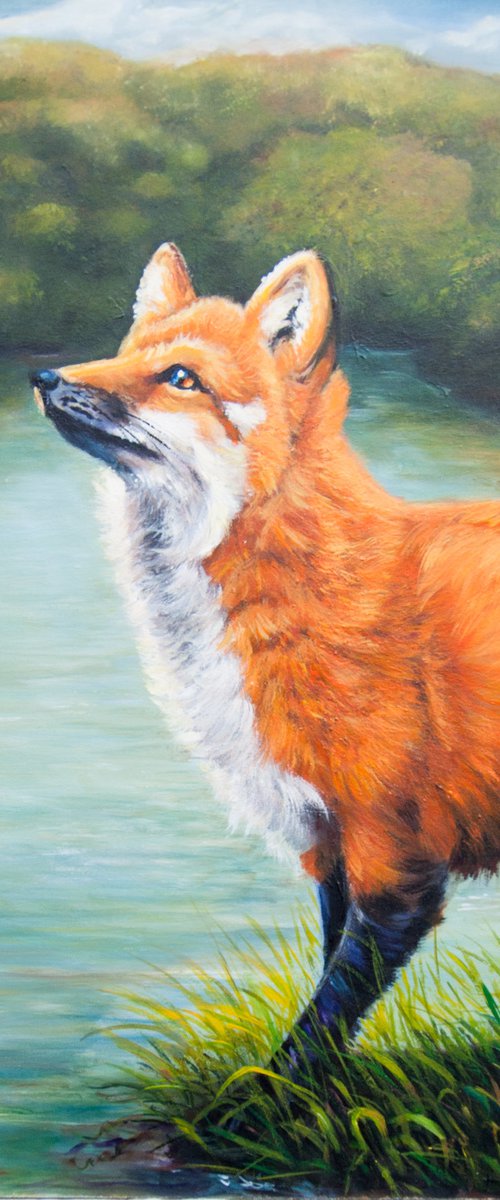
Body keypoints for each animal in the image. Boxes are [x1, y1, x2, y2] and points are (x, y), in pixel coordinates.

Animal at [32, 242, 499, 1058]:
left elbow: (323, 1017)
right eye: (125, 353)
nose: (47, 380)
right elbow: (331, 993)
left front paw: (267, 1090)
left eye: (181, 377)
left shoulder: (394, 852)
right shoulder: (328, 844)